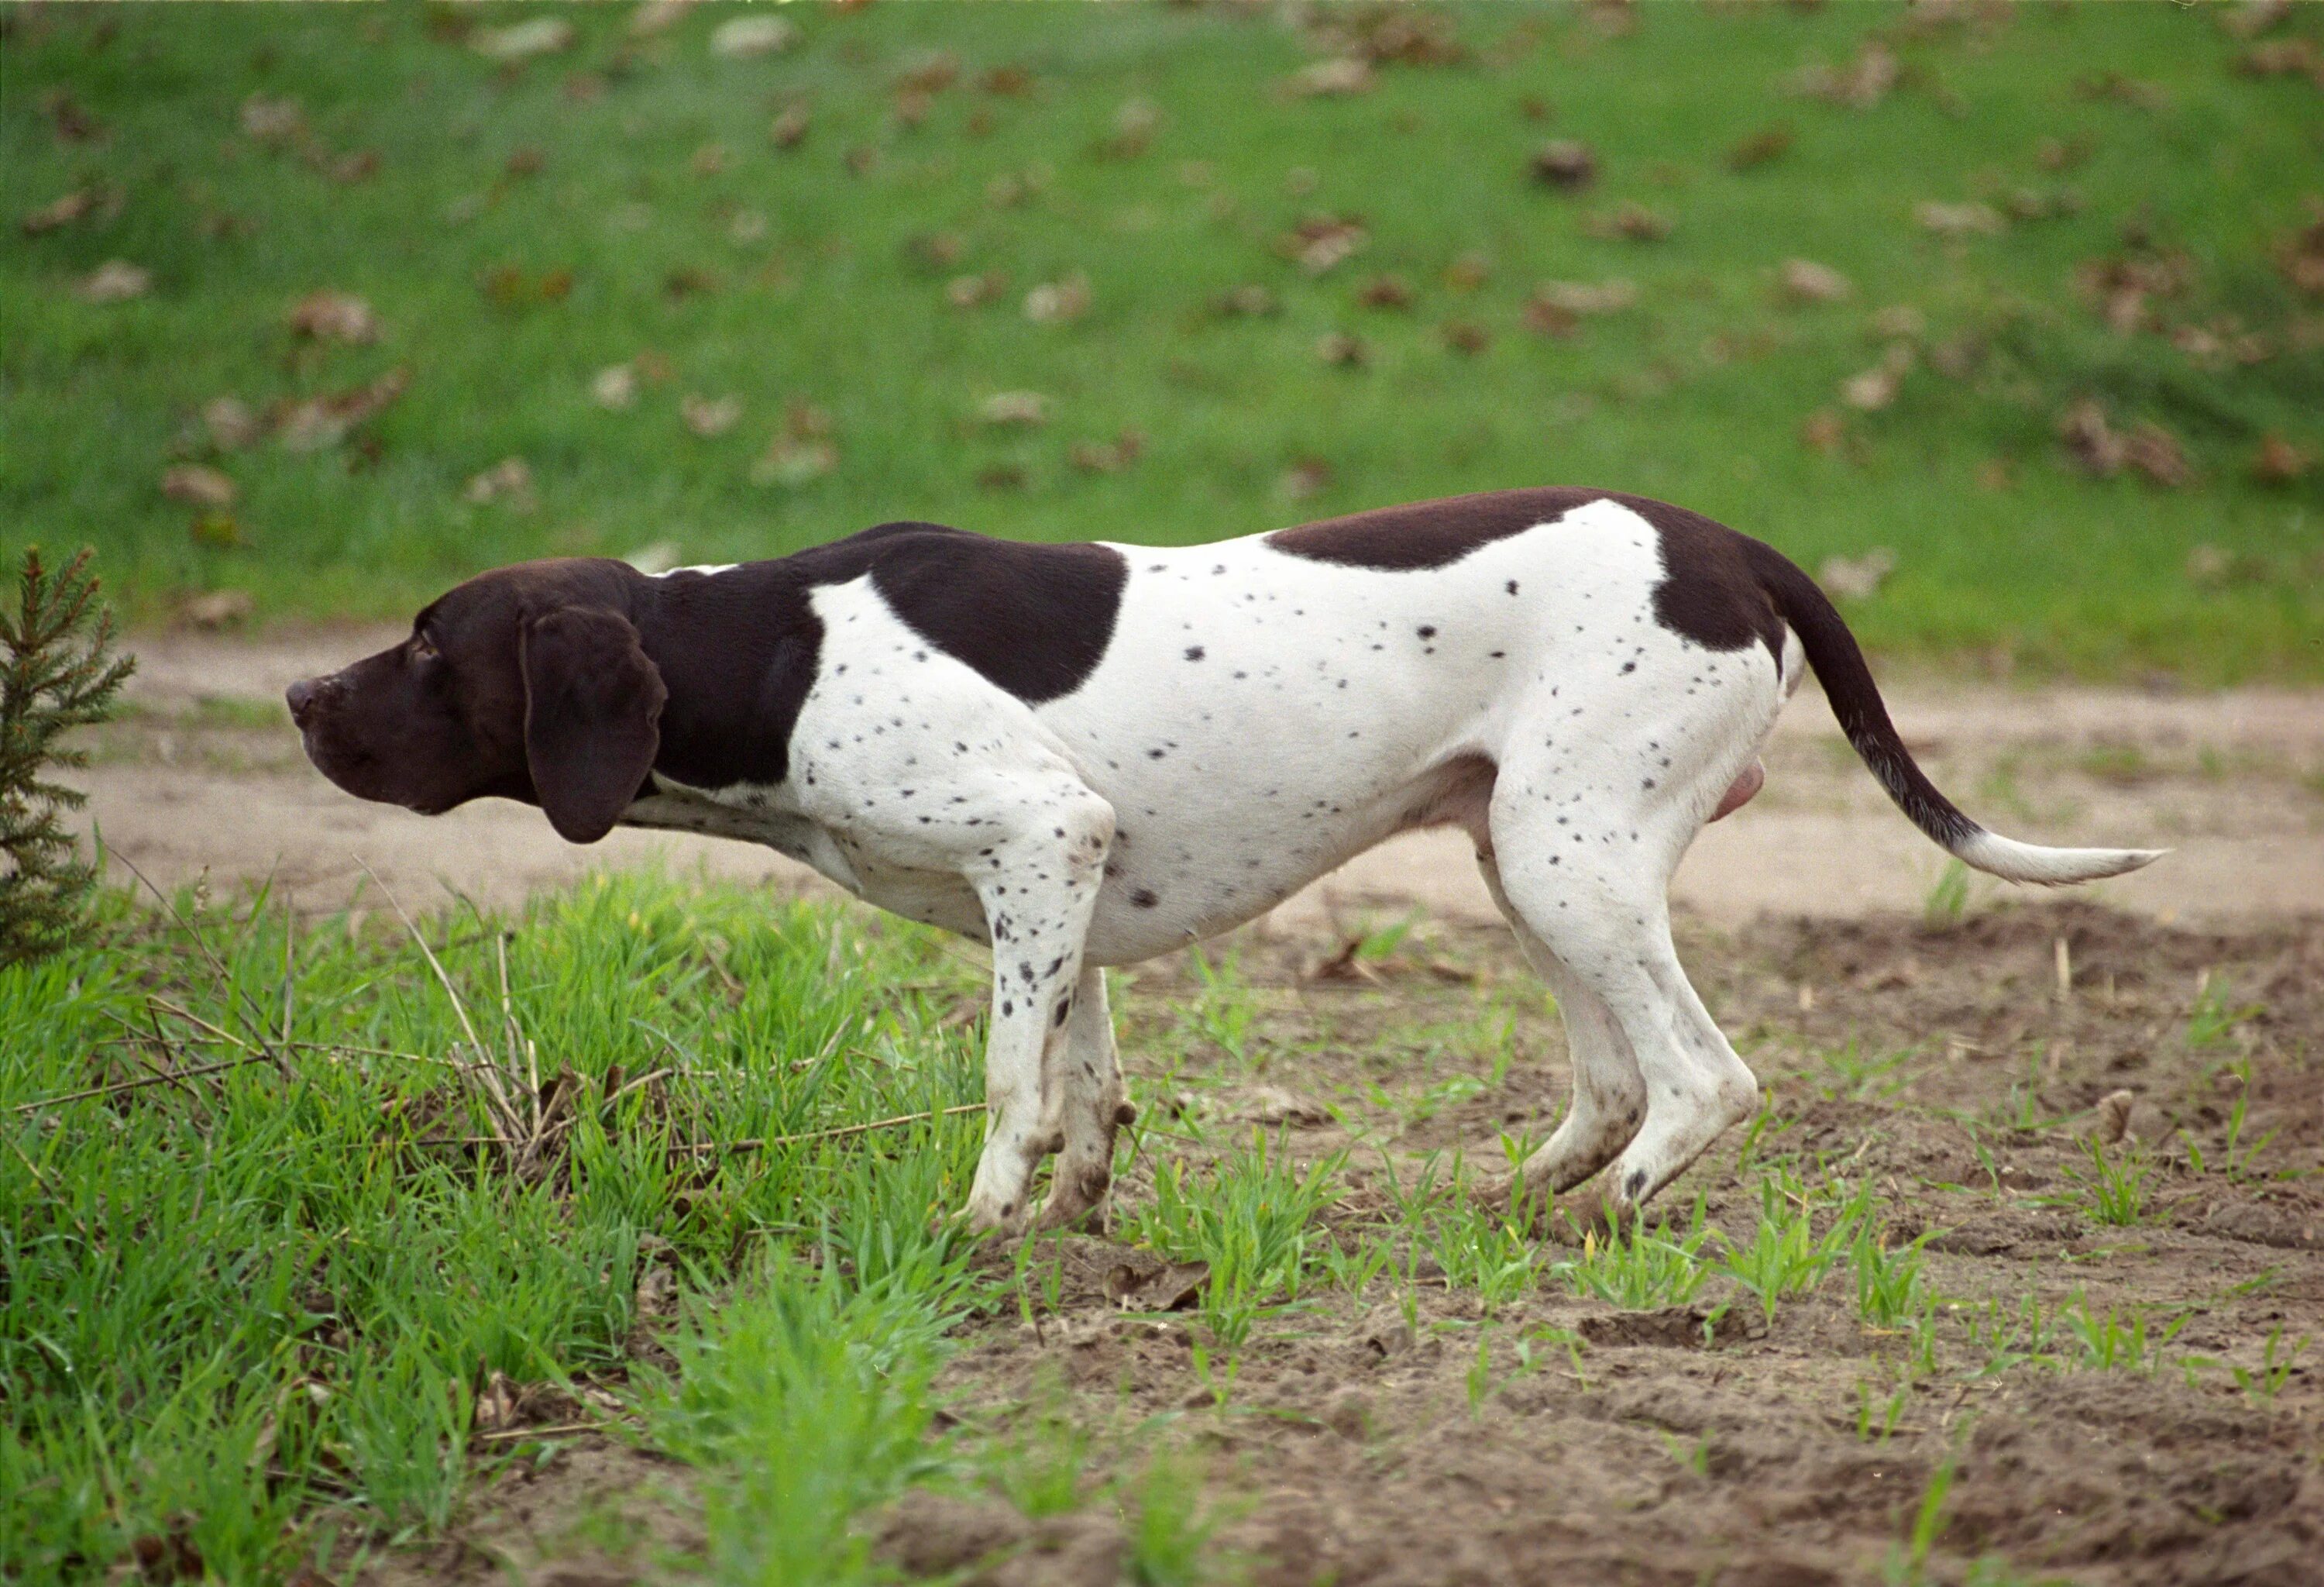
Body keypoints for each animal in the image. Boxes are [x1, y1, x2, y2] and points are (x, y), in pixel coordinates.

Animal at [290, 490, 2157, 1236]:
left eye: (429, 641)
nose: (301, 698)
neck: (779, 647)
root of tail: (1729, 543)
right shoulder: (1063, 888)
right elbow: (1087, 1083)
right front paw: (1079, 1230)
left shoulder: (1037, 844)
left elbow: (1006, 1083)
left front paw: (979, 1231)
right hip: (1537, 861)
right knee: (1616, 1079)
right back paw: (1512, 1203)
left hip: (1569, 860)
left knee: (1706, 1081)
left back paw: (1610, 1220)